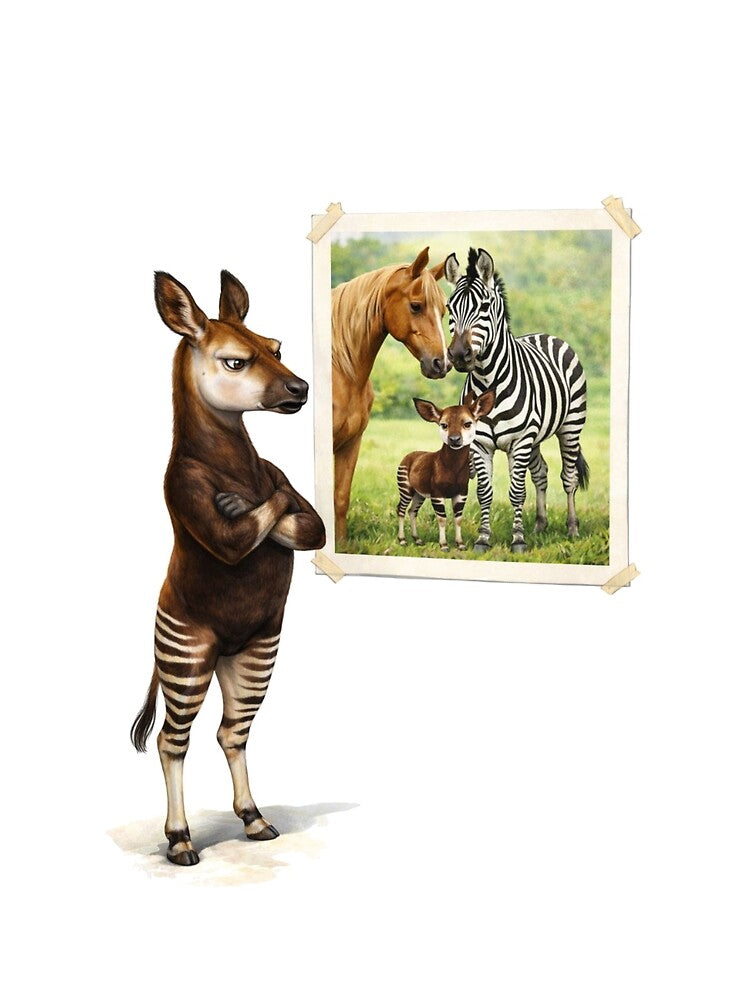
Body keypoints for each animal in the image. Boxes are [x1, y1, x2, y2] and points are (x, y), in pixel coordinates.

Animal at [331, 247, 449, 544]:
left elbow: (340, 498)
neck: (341, 369)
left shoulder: (351, 443)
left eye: (443, 311)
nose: (442, 363)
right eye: (416, 305)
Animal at [444, 247, 589, 553]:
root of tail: (544, 335)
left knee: (568, 478)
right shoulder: (480, 444)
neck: (489, 381)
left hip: (570, 427)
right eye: (449, 309)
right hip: (535, 439)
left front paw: (518, 541)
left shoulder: (520, 441)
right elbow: (485, 492)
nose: (459, 355)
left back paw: (572, 529)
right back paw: (540, 525)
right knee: (541, 473)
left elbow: (516, 492)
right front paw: (483, 539)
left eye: (484, 307)